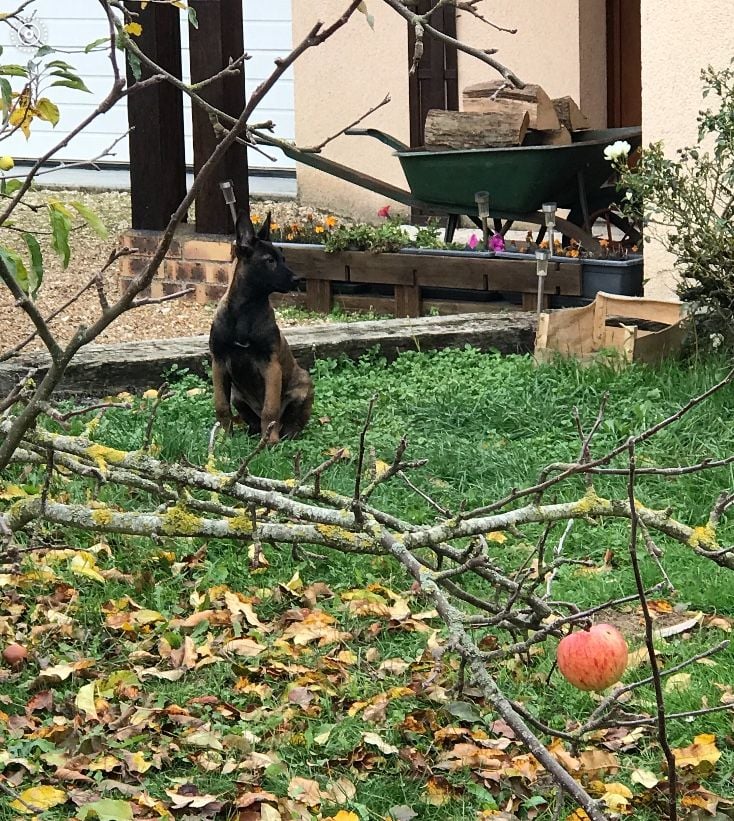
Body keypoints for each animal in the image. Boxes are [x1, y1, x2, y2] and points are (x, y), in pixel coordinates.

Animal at [213, 211, 316, 442]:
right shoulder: (219, 362)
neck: (247, 309)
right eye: (269, 261)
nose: (298, 279)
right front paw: (224, 439)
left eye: (283, 259)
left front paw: (270, 442)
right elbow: (221, 406)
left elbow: (271, 409)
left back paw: (283, 434)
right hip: (238, 396)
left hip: (304, 384)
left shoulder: (271, 366)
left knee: (287, 421)